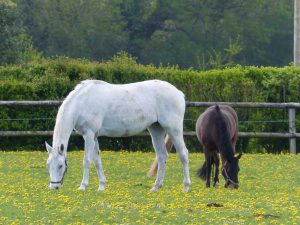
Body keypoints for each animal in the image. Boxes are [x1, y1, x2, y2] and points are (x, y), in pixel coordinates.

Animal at [45, 79, 191, 192]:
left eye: (60, 165)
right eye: (48, 165)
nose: (54, 187)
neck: (82, 102)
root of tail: (179, 93)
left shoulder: (89, 135)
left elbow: (87, 161)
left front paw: (83, 186)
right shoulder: (94, 136)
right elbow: (97, 160)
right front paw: (101, 186)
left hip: (173, 129)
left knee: (183, 154)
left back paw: (186, 187)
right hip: (156, 129)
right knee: (162, 157)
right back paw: (156, 186)